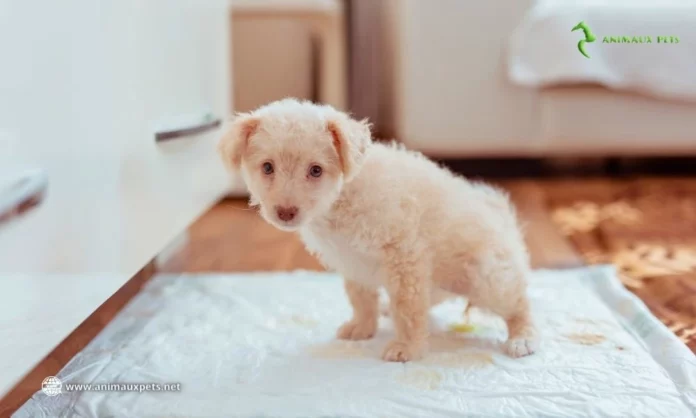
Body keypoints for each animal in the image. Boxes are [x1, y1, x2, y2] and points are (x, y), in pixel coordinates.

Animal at [218, 99, 540, 362]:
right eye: (267, 167)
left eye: (316, 170)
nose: (285, 212)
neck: (342, 199)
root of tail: (504, 219)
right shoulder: (353, 262)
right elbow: (361, 299)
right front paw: (363, 327)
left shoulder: (404, 255)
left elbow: (407, 307)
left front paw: (406, 348)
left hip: (487, 277)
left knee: (520, 303)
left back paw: (522, 339)